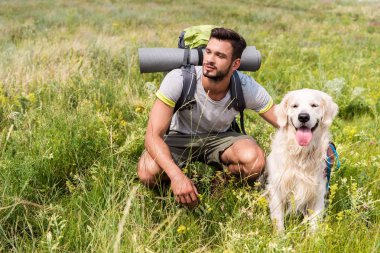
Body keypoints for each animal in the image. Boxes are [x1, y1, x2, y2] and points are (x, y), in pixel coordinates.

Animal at [268, 88, 338, 231]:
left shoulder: (318, 191)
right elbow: (278, 220)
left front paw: (314, 237)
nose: (303, 117)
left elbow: (314, 224)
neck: (301, 154)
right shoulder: (277, 189)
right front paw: (280, 236)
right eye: (295, 106)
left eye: (314, 105)